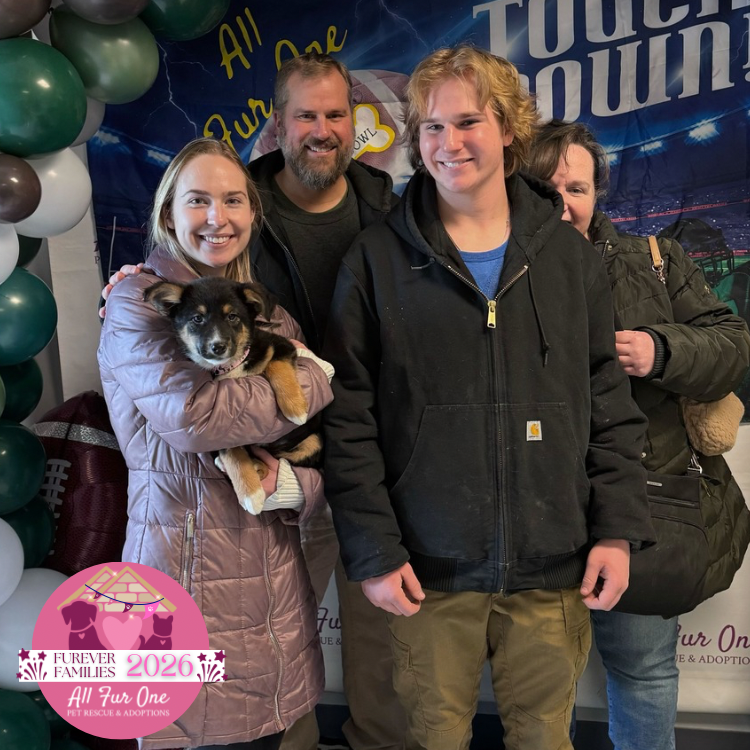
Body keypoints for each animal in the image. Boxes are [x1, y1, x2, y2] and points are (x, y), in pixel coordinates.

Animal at [144, 276, 322, 514]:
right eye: (197, 318)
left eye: (232, 316)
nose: (217, 346)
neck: (232, 365)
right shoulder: (221, 429)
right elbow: (232, 453)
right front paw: (250, 495)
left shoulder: (282, 345)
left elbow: (277, 365)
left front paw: (296, 409)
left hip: (313, 442)